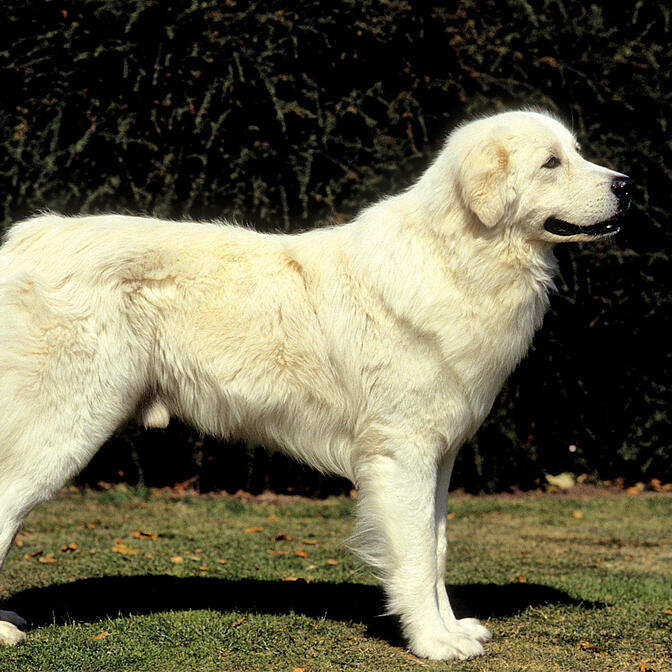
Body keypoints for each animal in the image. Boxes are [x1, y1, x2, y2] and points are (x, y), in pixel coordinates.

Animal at [0, 111, 632, 660]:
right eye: (551, 163)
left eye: (576, 152)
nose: (627, 185)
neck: (460, 257)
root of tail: (24, 240)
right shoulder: (402, 454)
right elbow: (416, 556)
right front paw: (433, 644)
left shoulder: (440, 455)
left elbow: (437, 547)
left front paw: (453, 629)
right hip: (65, 424)